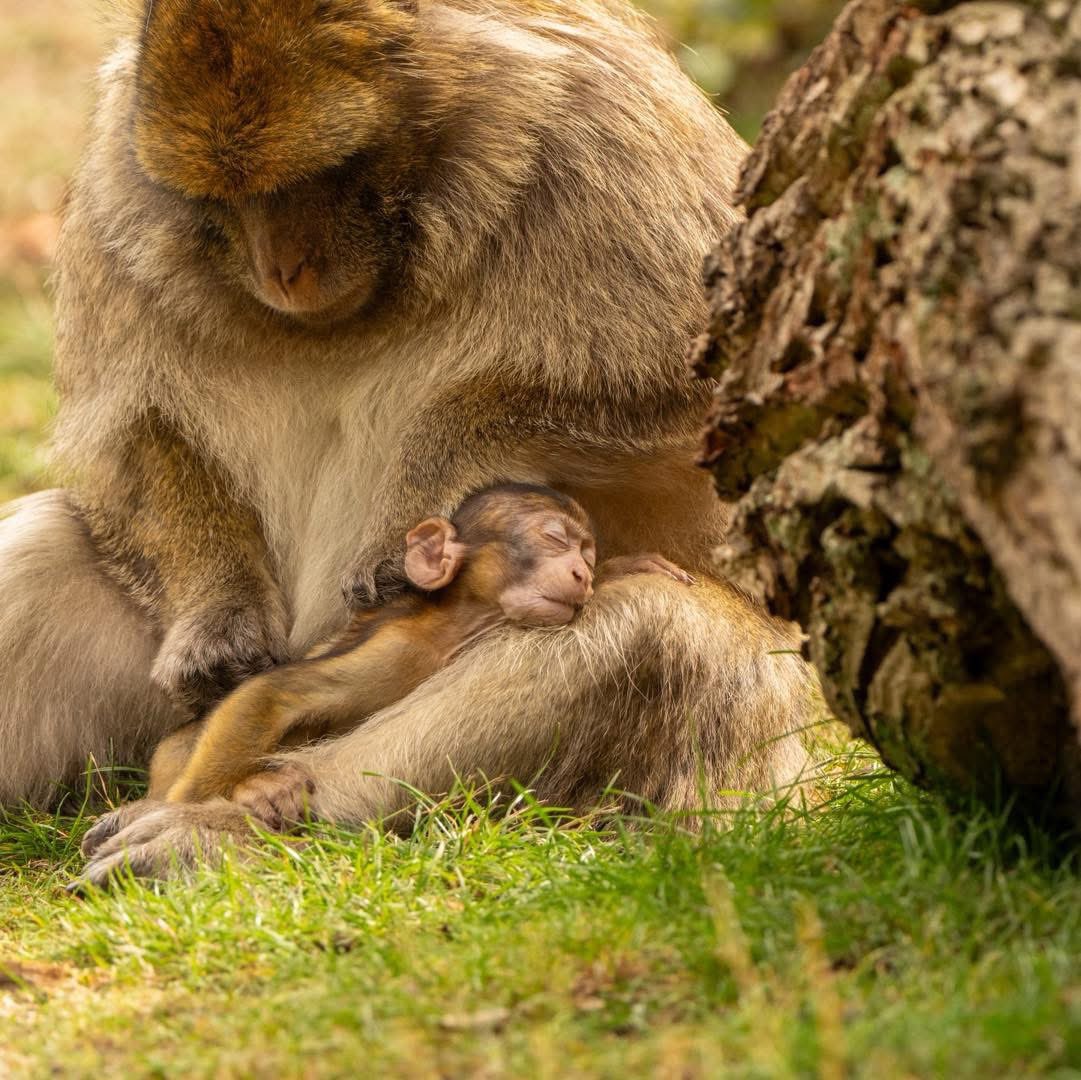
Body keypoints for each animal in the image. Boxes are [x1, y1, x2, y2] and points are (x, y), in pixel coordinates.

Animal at [0, 0, 814, 871]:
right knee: (47, 550)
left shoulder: (609, 139)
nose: (282, 268)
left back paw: (225, 829)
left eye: (318, 179)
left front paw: (429, 470)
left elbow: (712, 393)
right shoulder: (118, 198)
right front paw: (218, 617)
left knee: (649, 625)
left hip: (746, 745)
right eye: (231, 197)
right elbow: (134, 432)